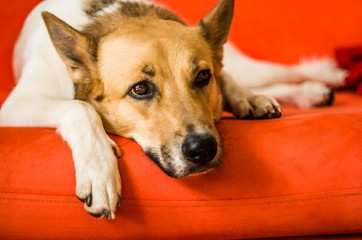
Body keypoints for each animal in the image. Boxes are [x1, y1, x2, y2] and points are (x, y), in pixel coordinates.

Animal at [0, 0, 346, 219]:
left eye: (202, 76)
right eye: (140, 89)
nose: (203, 149)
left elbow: (225, 79)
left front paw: (244, 98)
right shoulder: (16, 104)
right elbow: (79, 108)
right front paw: (100, 170)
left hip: (251, 67)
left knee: (264, 74)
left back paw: (321, 80)